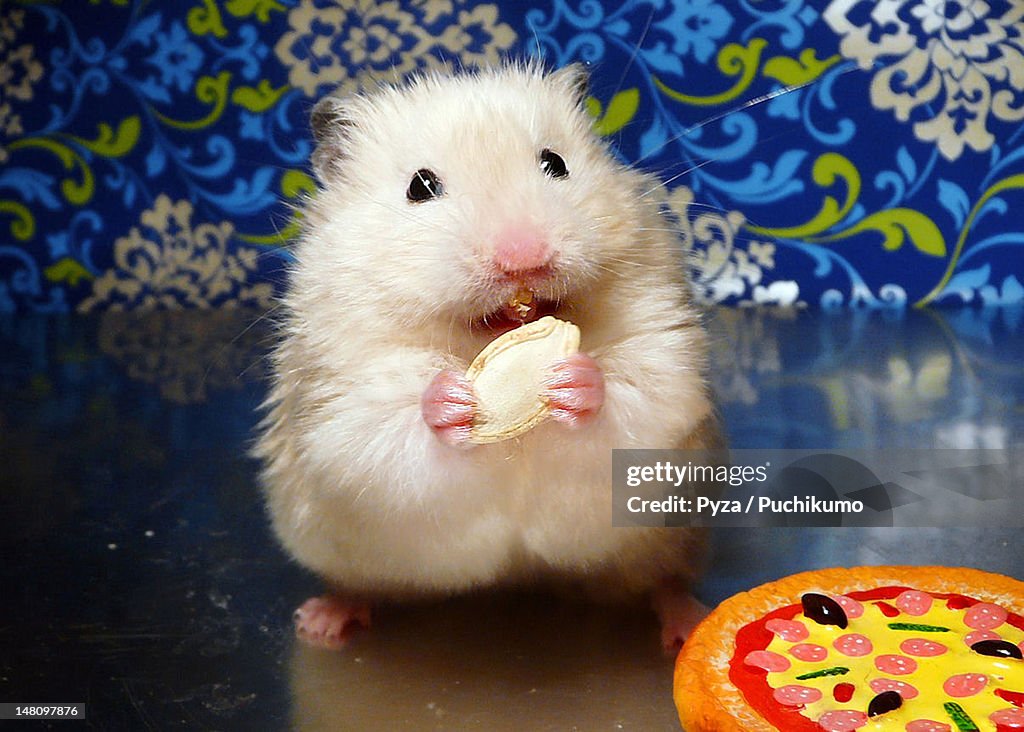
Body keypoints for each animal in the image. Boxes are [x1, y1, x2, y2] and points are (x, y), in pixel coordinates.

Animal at [253, 60, 720, 651]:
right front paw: (451, 401)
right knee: (358, 585)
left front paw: (573, 381)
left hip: (670, 542)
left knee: (661, 582)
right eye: (420, 187)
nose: (524, 258)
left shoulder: (664, 353)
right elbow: (386, 431)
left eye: (556, 163)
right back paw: (321, 622)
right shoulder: (337, 402)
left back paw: (687, 621)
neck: (479, 341)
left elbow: (634, 398)